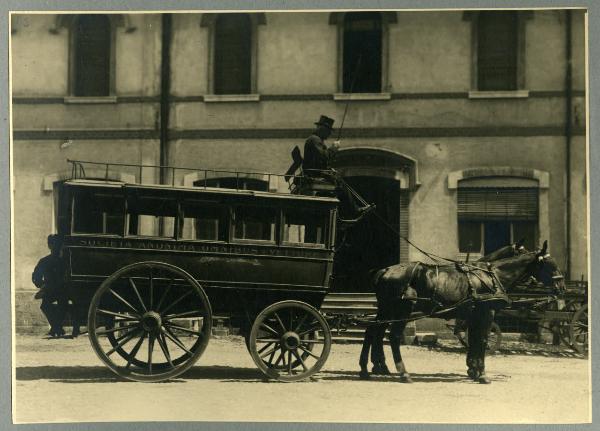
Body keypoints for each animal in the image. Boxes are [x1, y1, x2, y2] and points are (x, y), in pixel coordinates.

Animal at [360, 241, 564, 386]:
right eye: (550, 264)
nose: (562, 287)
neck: (491, 276)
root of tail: (385, 270)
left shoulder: (473, 316)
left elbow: (474, 340)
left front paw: (473, 369)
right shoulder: (486, 314)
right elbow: (481, 340)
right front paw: (482, 374)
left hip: (386, 310)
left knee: (373, 330)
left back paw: (368, 368)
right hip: (402, 310)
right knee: (393, 336)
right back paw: (403, 372)